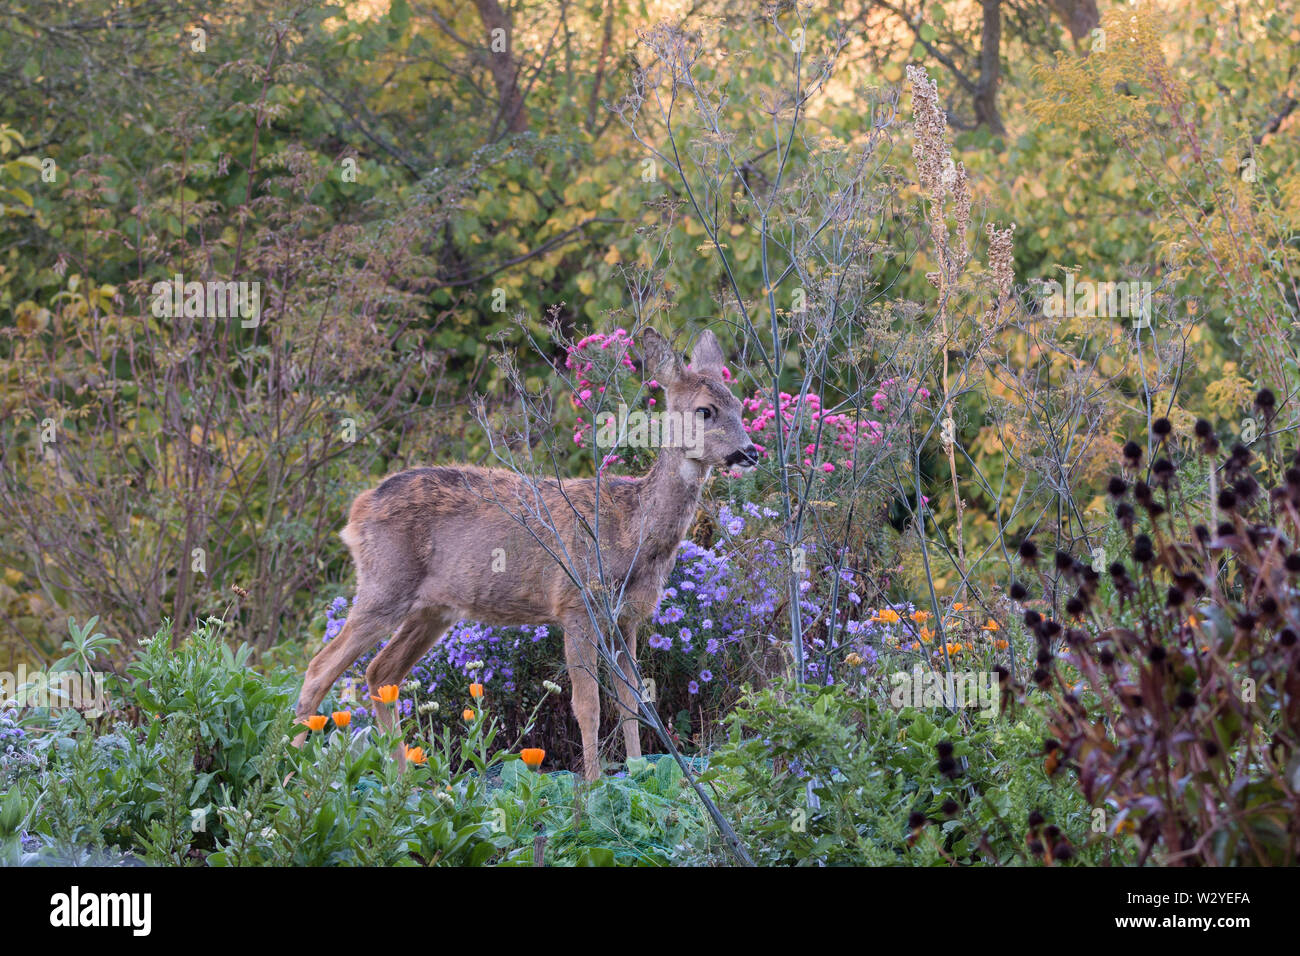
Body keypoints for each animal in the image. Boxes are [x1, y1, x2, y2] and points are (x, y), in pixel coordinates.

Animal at [289, 329, 759, 780]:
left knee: (380, 673)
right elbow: (588, 706)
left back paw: (407, 783)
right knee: (317, 670)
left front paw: (639, 770)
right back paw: (289, 774)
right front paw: (593, 785)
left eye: (738, 404)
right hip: (384, 584)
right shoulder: (576, 605)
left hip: (434, 609)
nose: (751, 452)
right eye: (704, 410)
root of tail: (357, 511)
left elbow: (632, 700)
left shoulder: (626, 618)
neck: (632, 531)